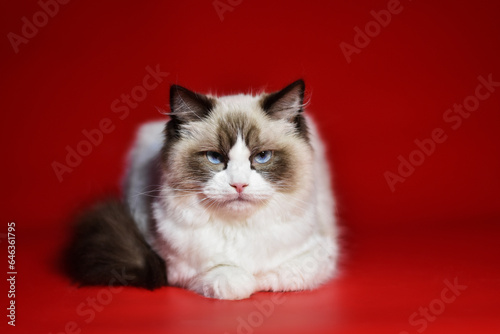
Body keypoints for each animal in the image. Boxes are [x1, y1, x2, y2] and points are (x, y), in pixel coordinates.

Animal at [65, 80, 340, 300]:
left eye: (262, 157)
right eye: (214, 158)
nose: (239, 184)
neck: (238, 228)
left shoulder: (316, 257)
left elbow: (274, 276)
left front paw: (257, 279)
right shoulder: (179, 267)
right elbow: (229, 278)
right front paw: (244, 280)